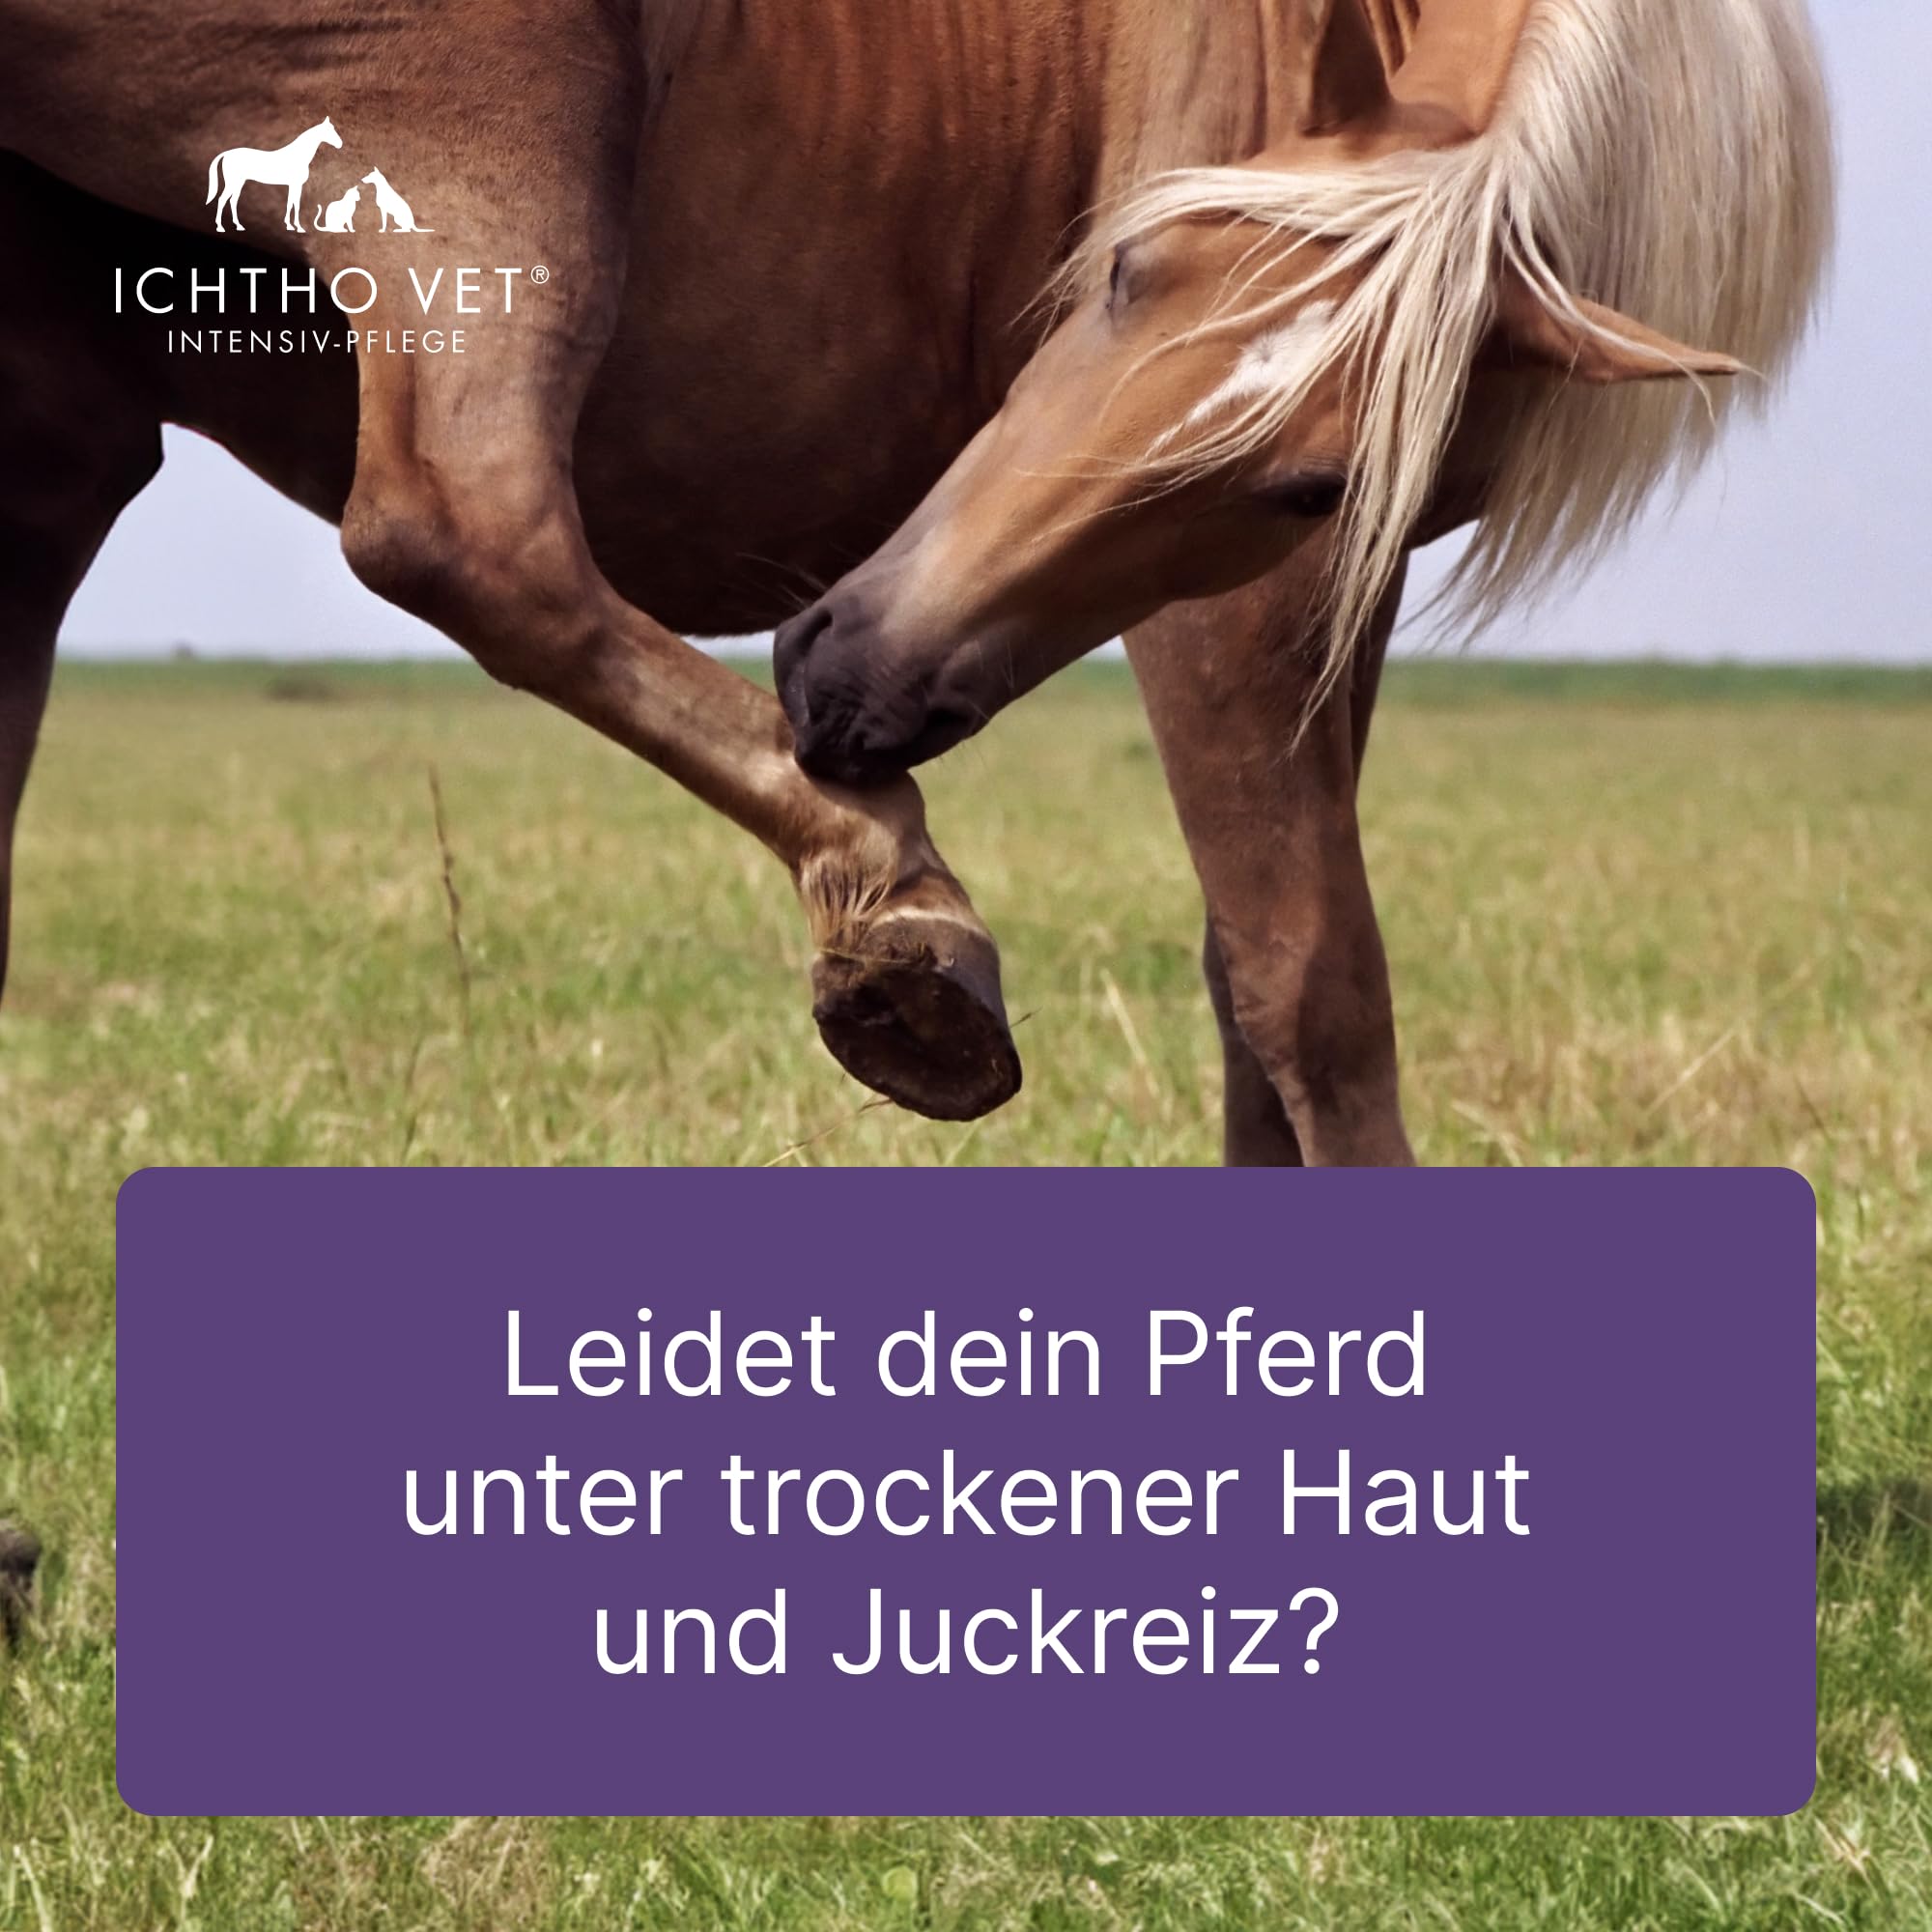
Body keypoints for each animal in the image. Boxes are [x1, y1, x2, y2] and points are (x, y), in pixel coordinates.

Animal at [204, 117, 341, 234]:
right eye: (330, 130)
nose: (340, 144)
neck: (297, 156)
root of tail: (226, 153)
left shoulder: (293, 186)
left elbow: (290, 203)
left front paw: (290, 226)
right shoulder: (296, 185)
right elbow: (295, 205)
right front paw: (299, 228)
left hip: (239, 183)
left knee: (233, 201)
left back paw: (239, 226)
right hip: (233, 183)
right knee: (223, 199)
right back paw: (220, 227)